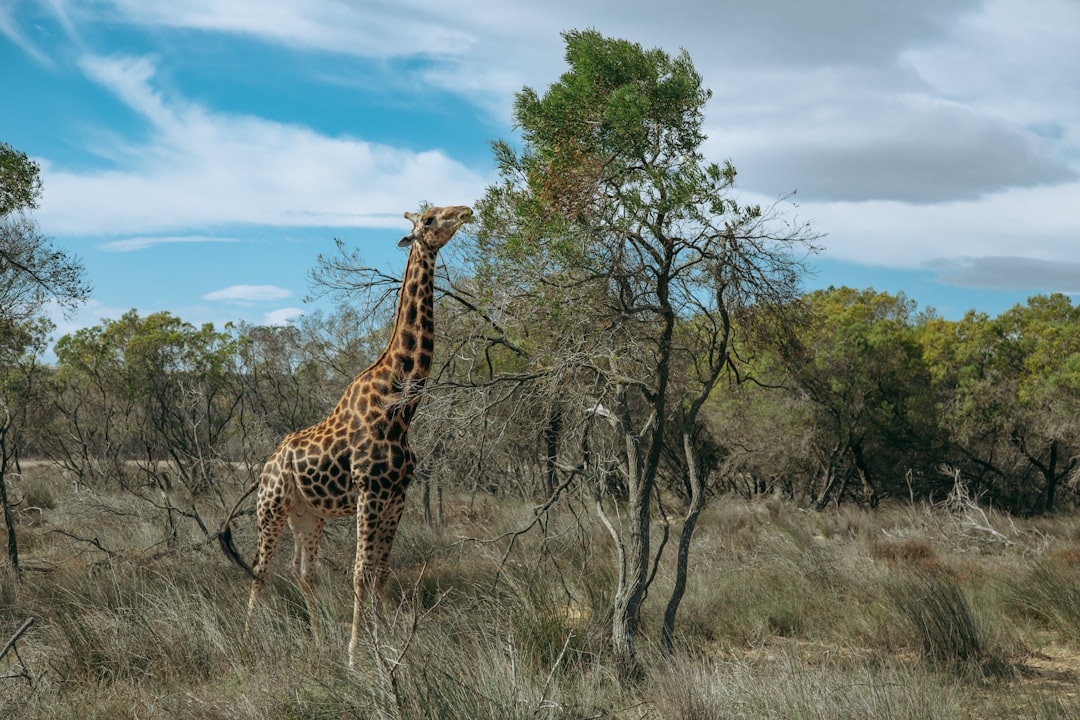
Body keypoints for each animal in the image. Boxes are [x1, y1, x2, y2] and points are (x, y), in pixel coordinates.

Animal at [219, 202, 473, 664]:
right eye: (428, 219)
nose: (465, 211)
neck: (400, 408)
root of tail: (265, 467)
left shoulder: (397, 496)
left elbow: (381, 573)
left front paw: (384, 644)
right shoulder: (370, 493)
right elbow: (359, 574)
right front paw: (357, 654)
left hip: (307, 515)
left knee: (303, 573)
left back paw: (319, 644)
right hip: (272, 508)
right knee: (261, 570)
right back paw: (247, 642)